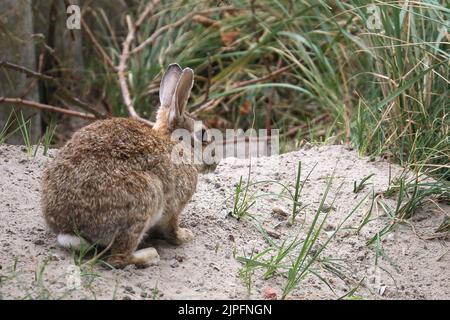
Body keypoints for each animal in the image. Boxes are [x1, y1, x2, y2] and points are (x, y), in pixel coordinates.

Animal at [42, 63, 216, 268]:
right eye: (202, 134)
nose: (215, 163)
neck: (175, 143)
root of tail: (72, 229)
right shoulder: (175, 206)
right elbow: (172, 229)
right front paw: (185, 236)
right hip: (146, 199)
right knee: (118, 258)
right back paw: (150, 255)